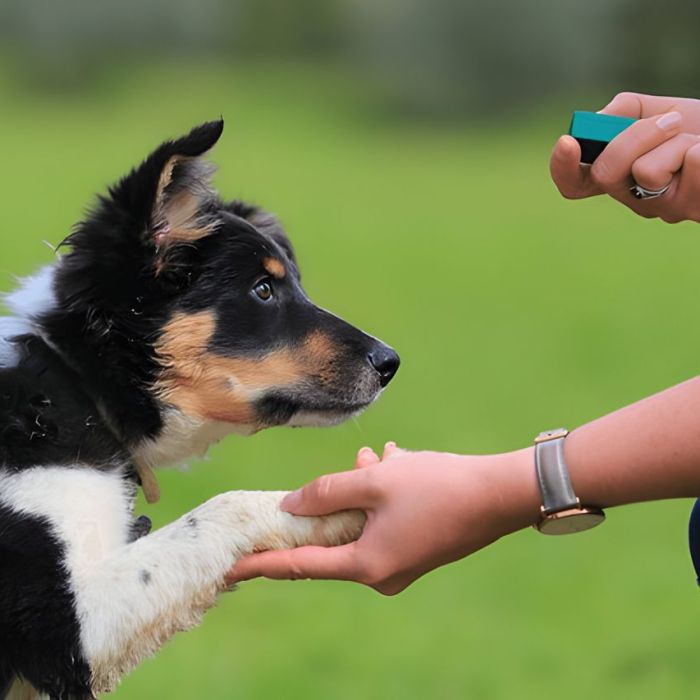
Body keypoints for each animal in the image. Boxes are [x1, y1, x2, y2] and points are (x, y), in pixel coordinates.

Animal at [0, 121, 400, 700]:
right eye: (263, 289)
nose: (390, 362)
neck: (74, 380)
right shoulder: (64, 630)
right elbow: (225, 506)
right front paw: (340, 506)